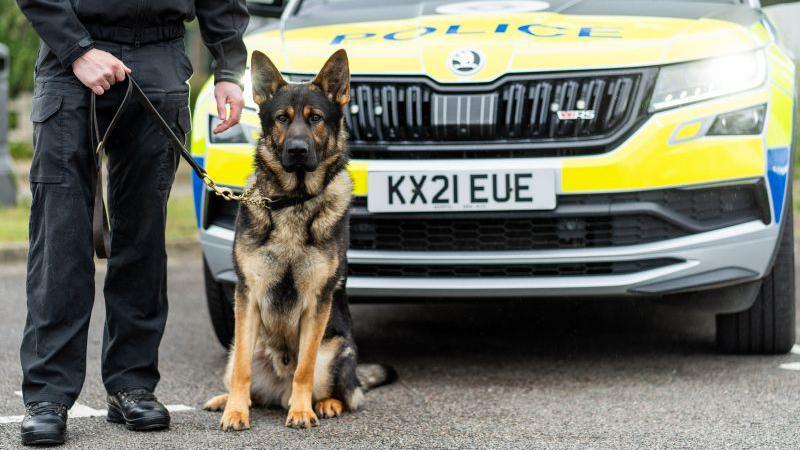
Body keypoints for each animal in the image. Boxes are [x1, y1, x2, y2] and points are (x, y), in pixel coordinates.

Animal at [205, 50, 396, 432]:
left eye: (316, 119)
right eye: (282, 118)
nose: (296, 150)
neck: (292, 200)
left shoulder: (316, 303)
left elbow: (304, 368)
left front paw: (302, 412)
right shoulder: (247, 297)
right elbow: (243, 371)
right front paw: (235, 411)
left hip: (335, 350)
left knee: (343, 392)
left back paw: (323, 404)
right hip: (238, 348)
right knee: (247, 381)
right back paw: (226, 401)